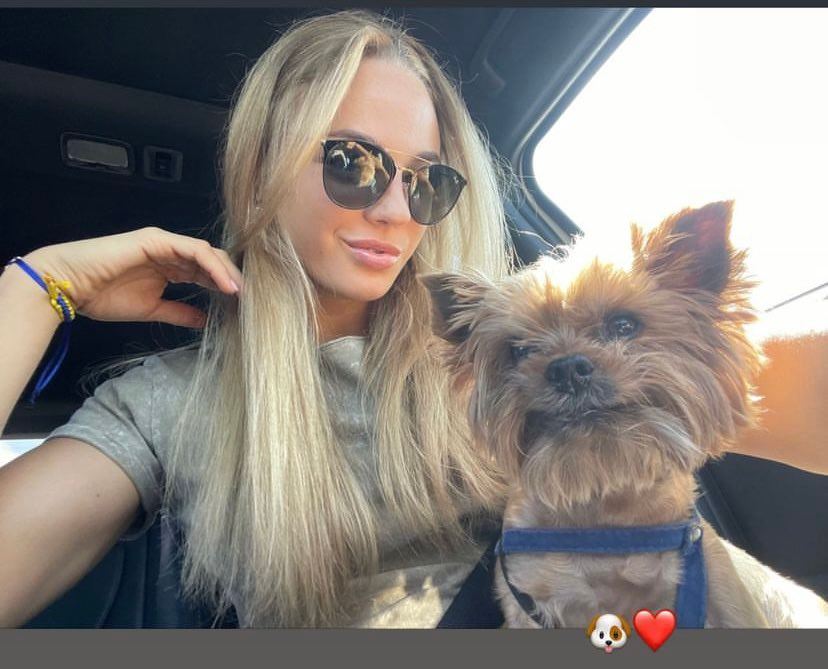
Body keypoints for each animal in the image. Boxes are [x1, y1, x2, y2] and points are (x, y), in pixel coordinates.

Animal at [423, 201, 828, 628]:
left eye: (623, 325)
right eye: (519, 350)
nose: (567, 368)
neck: (607, 516)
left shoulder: (719, 591)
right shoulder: (528, 602)